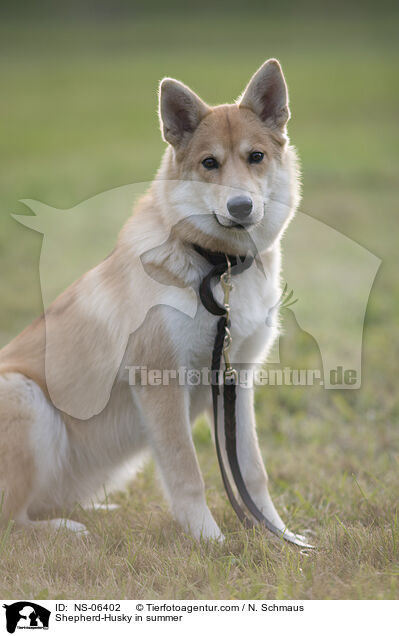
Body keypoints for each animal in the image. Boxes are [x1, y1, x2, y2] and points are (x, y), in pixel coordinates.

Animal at [0, 59, 300, 540]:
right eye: (209, 163)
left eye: (256, 157)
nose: (240, 207)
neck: (215, 264)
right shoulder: (161, 381)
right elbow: (187, 472)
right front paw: (208, 540)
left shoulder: (236, 383)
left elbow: (252, 473)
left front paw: (277, 534)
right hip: (26, 397)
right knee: (12, 520)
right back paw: (67, 530)